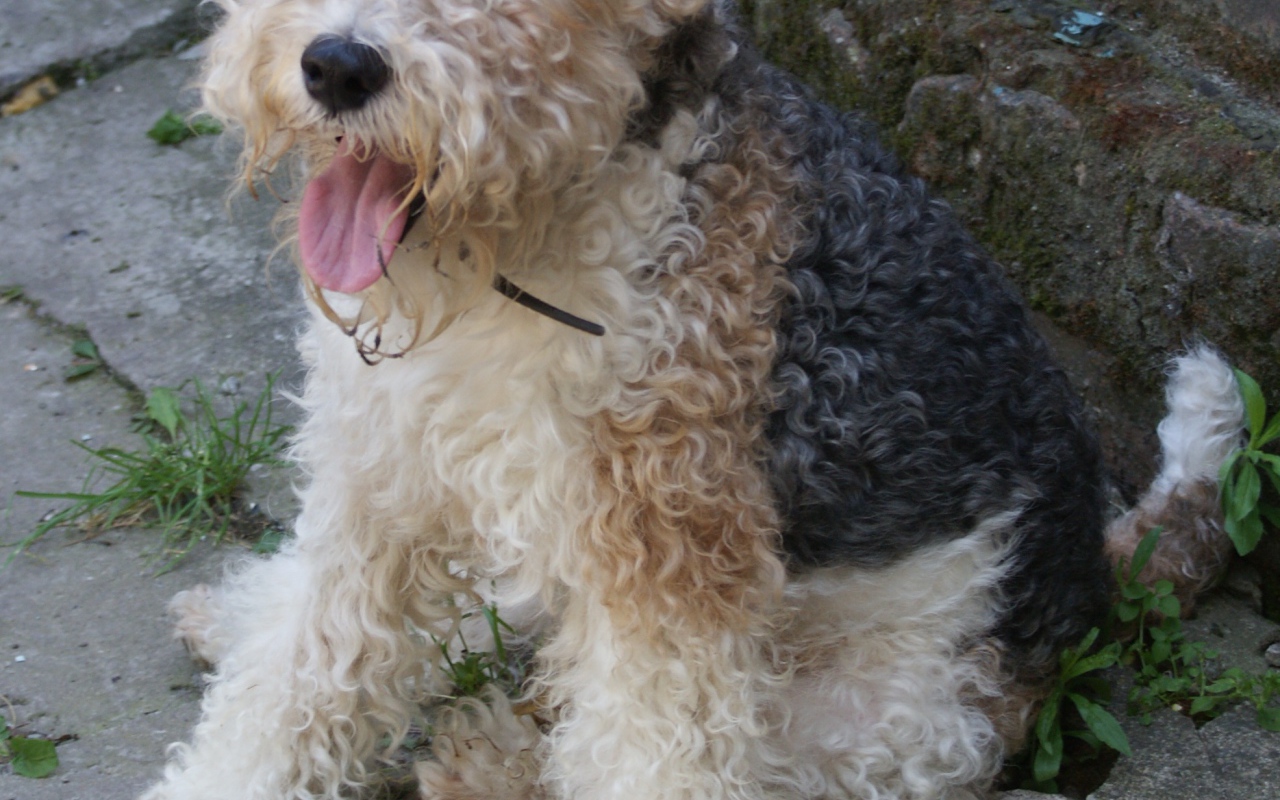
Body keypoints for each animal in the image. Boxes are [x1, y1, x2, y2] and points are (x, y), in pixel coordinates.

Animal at [144, 1, 1246, 798]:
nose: (335, 66)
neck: (513, 255)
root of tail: (1093, 581)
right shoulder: (376, 489)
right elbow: (295, 685)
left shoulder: (666, 587)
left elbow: (645, 754)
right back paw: (238, 614)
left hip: (882, 721)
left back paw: (484, 756)